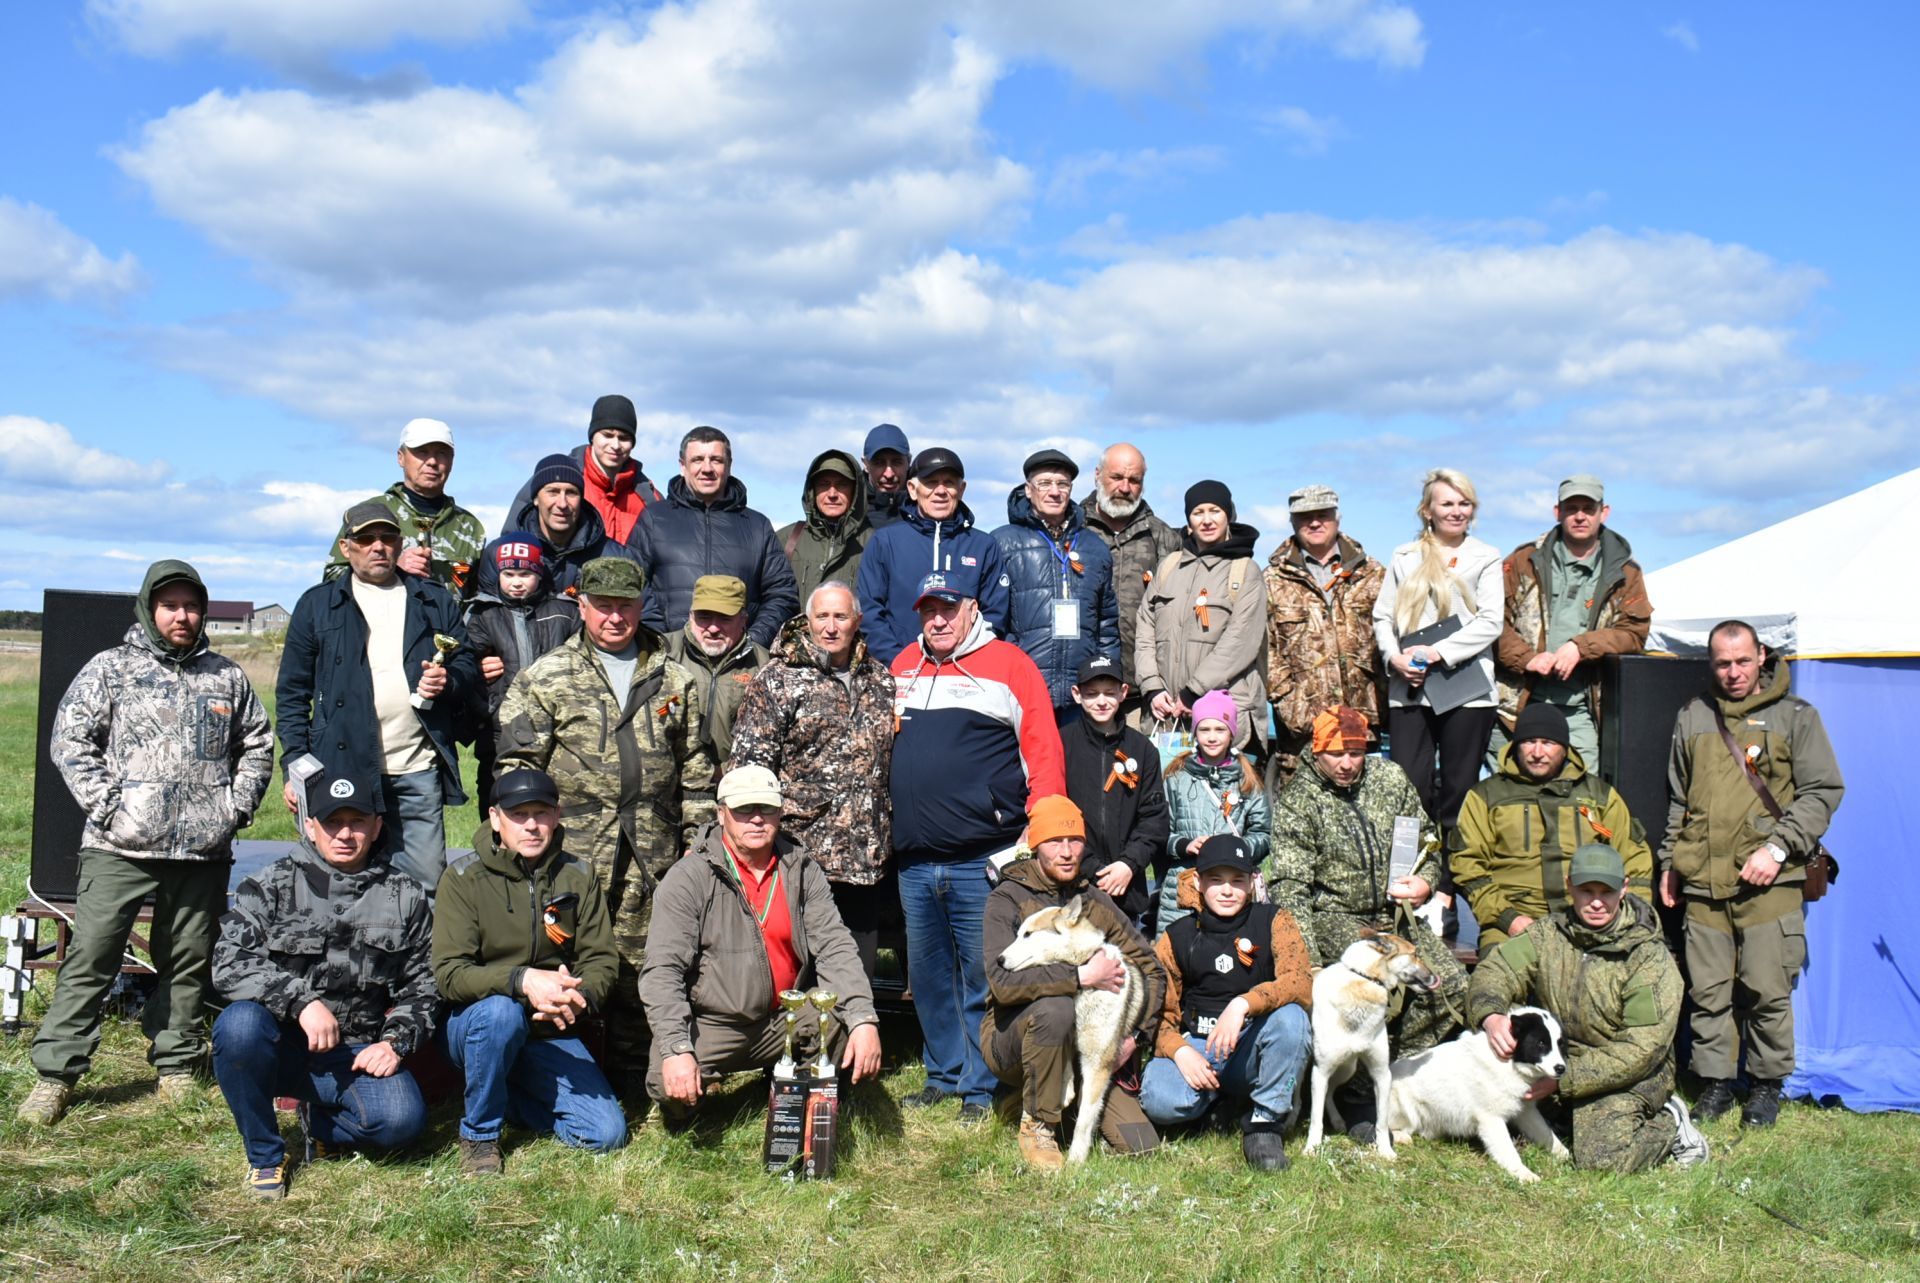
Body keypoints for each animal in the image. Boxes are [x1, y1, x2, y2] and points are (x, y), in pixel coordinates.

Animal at [998, 891, 1144, 1160]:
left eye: (1028, 934)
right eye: (1018, 933)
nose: (999, 960)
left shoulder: (1097, 1065)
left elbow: (1085, 1119)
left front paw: (1076, 1160)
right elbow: (1064, 1058)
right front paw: (1065, 1088)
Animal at [1297, 933, 1436, 1160]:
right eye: (1415, 954)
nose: (1434, 977)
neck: (1364, 981)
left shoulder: (1382, 1074)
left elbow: (1381, 1121)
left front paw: (1386, 1151)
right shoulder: (1321, 1070)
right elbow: (1316, 1119)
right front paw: (1311, 1148)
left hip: (1347, 1068)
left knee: (1330, 1093)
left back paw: (1337, 1121)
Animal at [1390, 998, 1566, 1183]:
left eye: (1561, 1045)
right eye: (1541, 1043)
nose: (1561, 1068)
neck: (1509, 1063)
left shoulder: (1526, 1111)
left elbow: (1545, 1132)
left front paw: (1562, 1154)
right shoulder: (1491, 1119)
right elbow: (1508, 1151)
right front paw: (1523, 1173)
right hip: (1402, 1107)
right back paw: (1399, 1137)